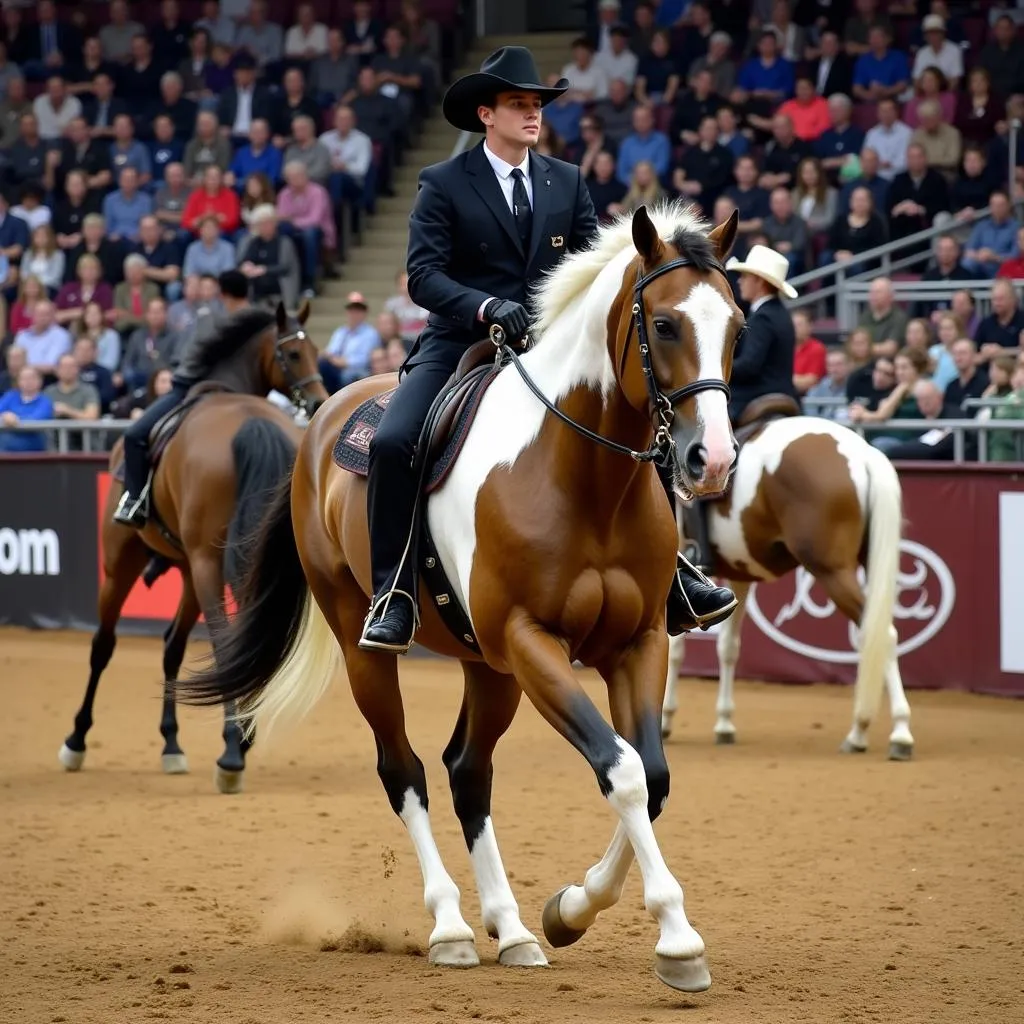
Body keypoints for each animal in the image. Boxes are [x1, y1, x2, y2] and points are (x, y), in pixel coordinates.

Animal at [57, 299, 327, 794]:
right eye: (294, 353)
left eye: (316, 350)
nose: (318, 400)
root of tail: (251, 423)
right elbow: (174, 649)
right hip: (200, 566)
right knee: (189, 645)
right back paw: (212, 741)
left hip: (153, 562)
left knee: (115, 643)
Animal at [184, 203, 745, 995]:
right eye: (664, 325)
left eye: (737, 326)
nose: (713, 458)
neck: (582, 478)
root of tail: (325, 415)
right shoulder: (531, 641)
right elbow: (623, 772)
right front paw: (676, 939)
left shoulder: (635, 645)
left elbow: (652, 776)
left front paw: (570, 910)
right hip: (372, 645)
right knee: (407, 773)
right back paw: (450, 926)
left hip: (489, 669)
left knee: (467, 773)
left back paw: (513, 931)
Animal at [663, 415, 921, 761]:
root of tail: (862, 453)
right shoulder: (739, 579)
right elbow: (728, 648)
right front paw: (724, 723)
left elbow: (675, 649)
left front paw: (666, 718)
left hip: (833, 572)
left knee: (879, 635)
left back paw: (884, 732)